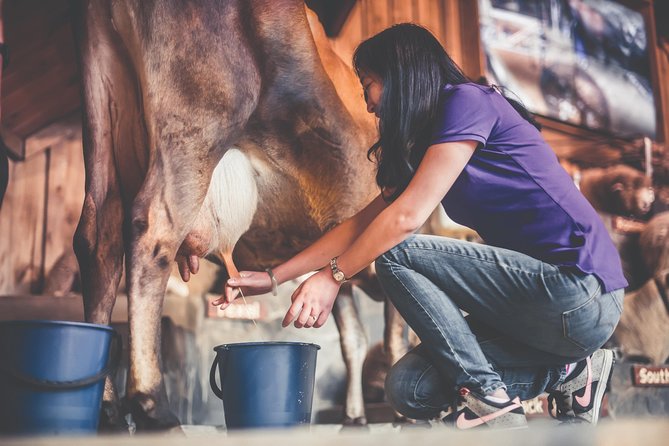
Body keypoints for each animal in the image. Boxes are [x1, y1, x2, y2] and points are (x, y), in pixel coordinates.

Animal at [71, 0, 384, 432]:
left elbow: (353, 335)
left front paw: (354, 417)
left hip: (103, 113)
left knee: (98, 238)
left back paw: (108, 411)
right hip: (200, 118)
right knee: (153, 228)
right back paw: (154, 406)